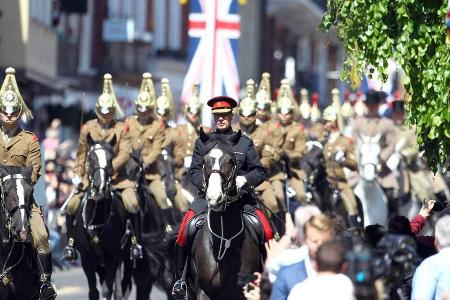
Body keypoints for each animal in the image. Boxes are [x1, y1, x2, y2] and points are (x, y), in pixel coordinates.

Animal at [72, 135, 128, 298]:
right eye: (90, 158)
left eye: (110, 159)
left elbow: (107, 290)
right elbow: (93, 291)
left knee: (119, 288)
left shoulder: (111, 257)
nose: (99, 187)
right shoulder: (86, 258)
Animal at [171, 134, 266, 300]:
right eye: (204, 161)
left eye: (231, 161)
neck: (224, 238)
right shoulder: (204, 292)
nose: (215, 198)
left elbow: (258, 170)